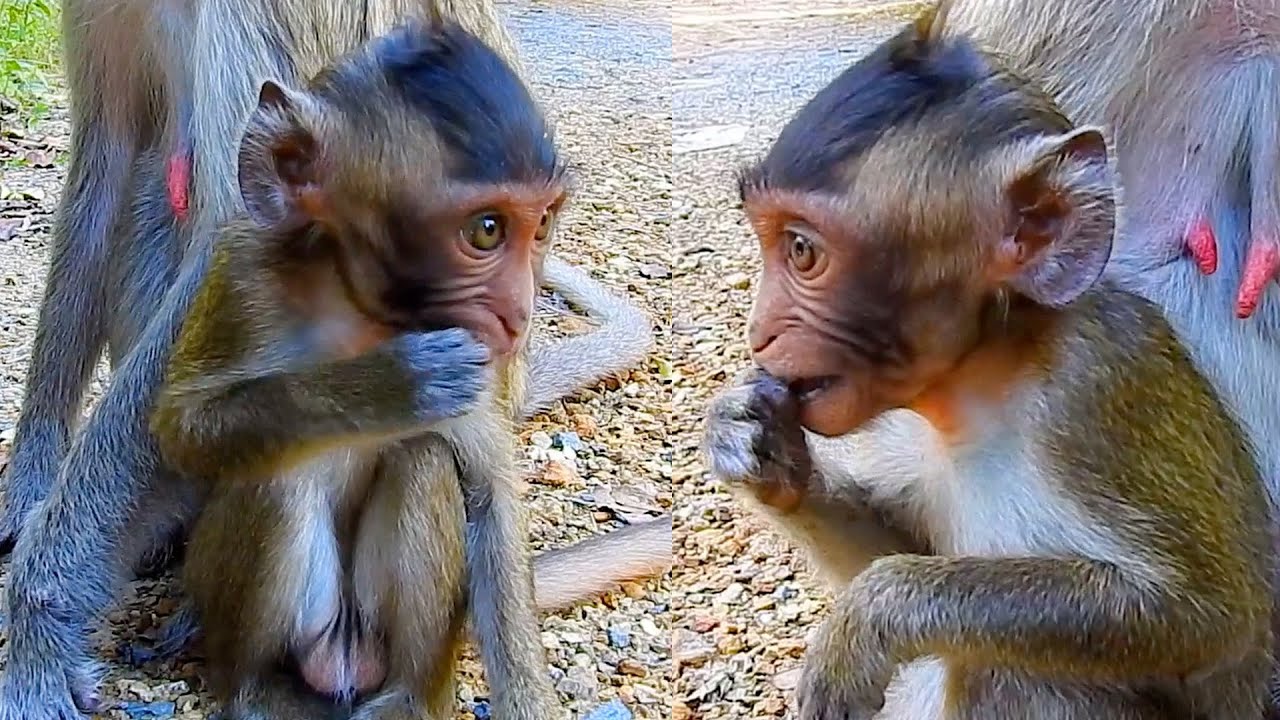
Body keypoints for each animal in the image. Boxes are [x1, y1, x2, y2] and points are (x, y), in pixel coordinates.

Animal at [702, 10, 1275, 719]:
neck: (989, 381)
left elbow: (1208, 616)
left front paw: (873, 614)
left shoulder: (1096, 388)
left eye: (802, 251)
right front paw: (754, 442)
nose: (759, 332)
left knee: (1005, 667)